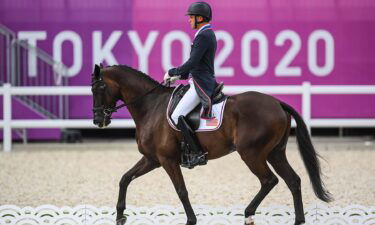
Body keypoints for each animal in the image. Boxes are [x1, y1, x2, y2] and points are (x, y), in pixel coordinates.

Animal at [91, 63, 332, 225]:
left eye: (99, 88)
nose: (98, 120)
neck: (151, 107)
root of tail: (278, 103)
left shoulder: (167, 160)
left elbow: (181, 190)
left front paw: (191, 220)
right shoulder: (152, 159)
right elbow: (125, 178)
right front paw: (120, 215)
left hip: (251, 154)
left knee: (269, 180)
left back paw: (248, 213)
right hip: (275, 153)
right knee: (293, 180)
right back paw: (297, 220)